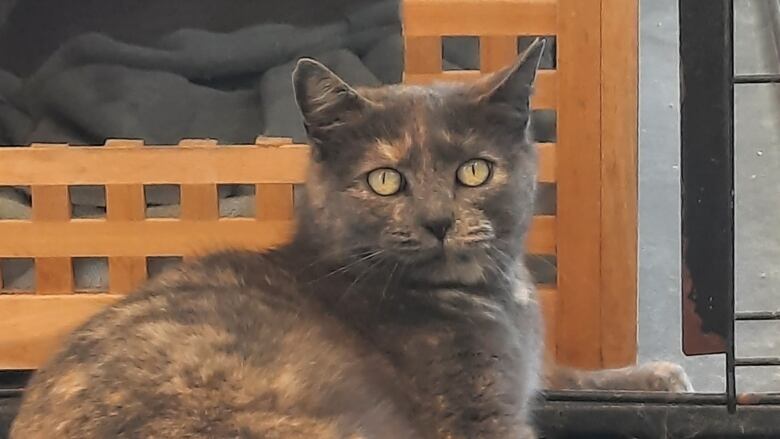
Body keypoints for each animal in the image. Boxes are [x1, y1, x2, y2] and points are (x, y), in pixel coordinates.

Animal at [10, 38, 688, 439]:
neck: (493, 298)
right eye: (385, 180)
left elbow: (563, 372)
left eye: (474, 171)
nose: (438, 221)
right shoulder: (474, 416)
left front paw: (653, 377)